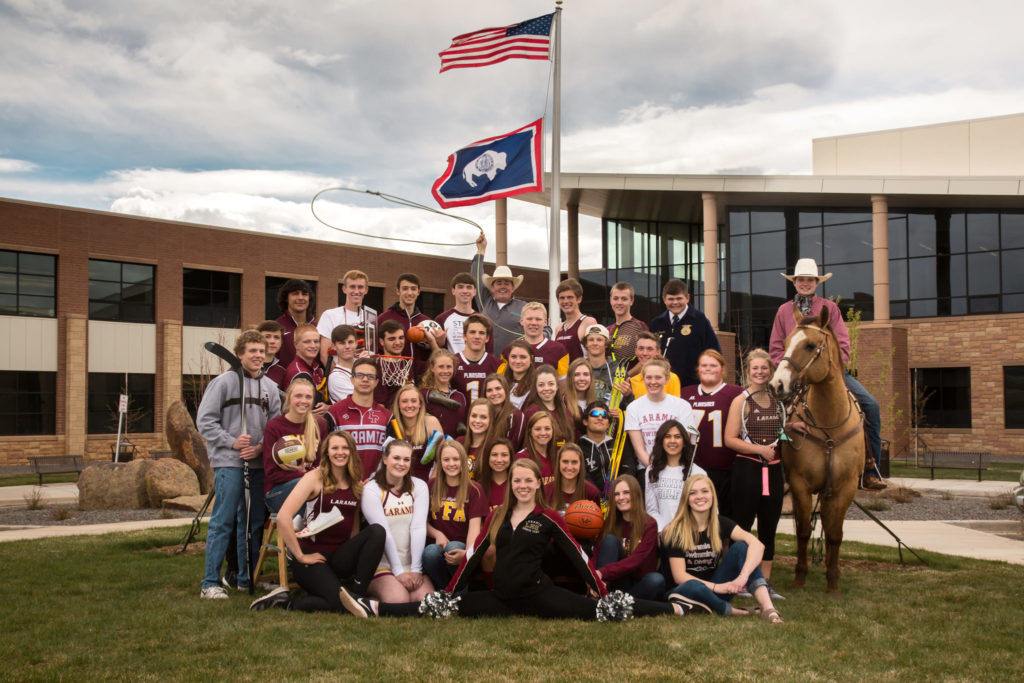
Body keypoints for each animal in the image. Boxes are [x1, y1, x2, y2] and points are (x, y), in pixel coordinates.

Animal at [770, 309, 864, 593]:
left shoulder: (846, 487)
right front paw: (800, 577)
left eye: (810, 345)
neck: (829, 426)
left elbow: (834, 534)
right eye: (786, 342)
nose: (777, 385)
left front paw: (833, 582)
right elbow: (802, 531)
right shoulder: (800, 484)